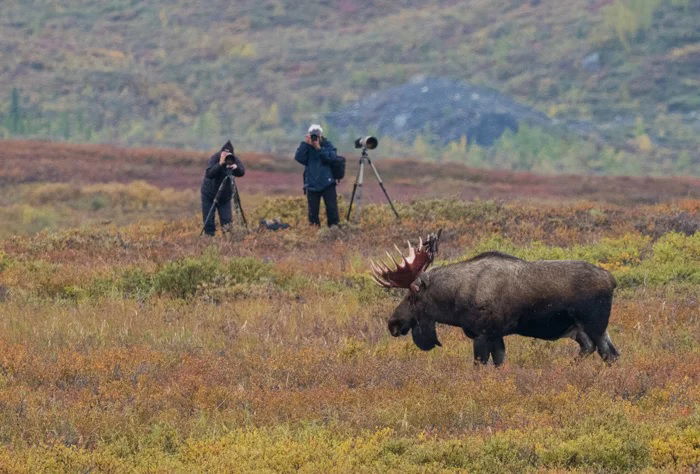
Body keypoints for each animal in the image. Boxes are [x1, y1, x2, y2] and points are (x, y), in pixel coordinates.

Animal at [372, 231, 616, 364]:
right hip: (583, 329)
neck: (454, 302)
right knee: (602, 350)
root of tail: (612, 280)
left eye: (411, 297)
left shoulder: (482, 334)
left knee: (607, 353)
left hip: (595, 325)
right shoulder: (496, 335)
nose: (393, 323)